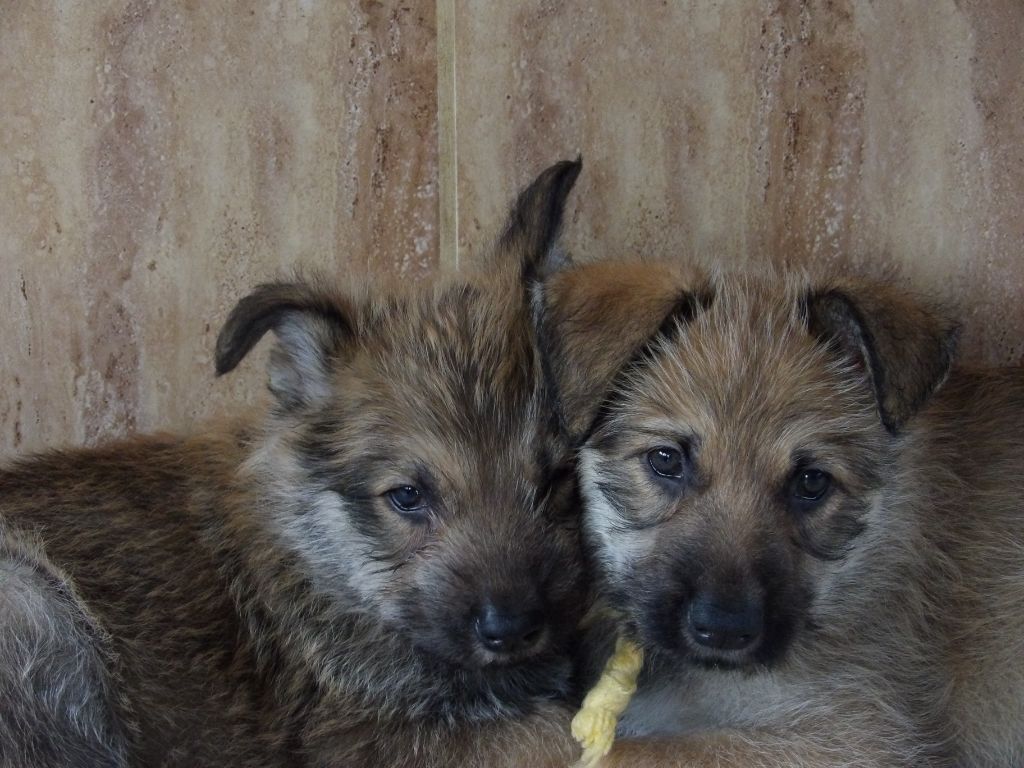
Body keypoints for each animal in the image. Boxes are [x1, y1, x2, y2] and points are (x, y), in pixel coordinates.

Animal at [0, 159, 589, 765]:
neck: (320, 561)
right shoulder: (372, 735)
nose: (513, 629)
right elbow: (549, 730)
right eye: (407, 496)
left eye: (556, 480)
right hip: (30, 604)